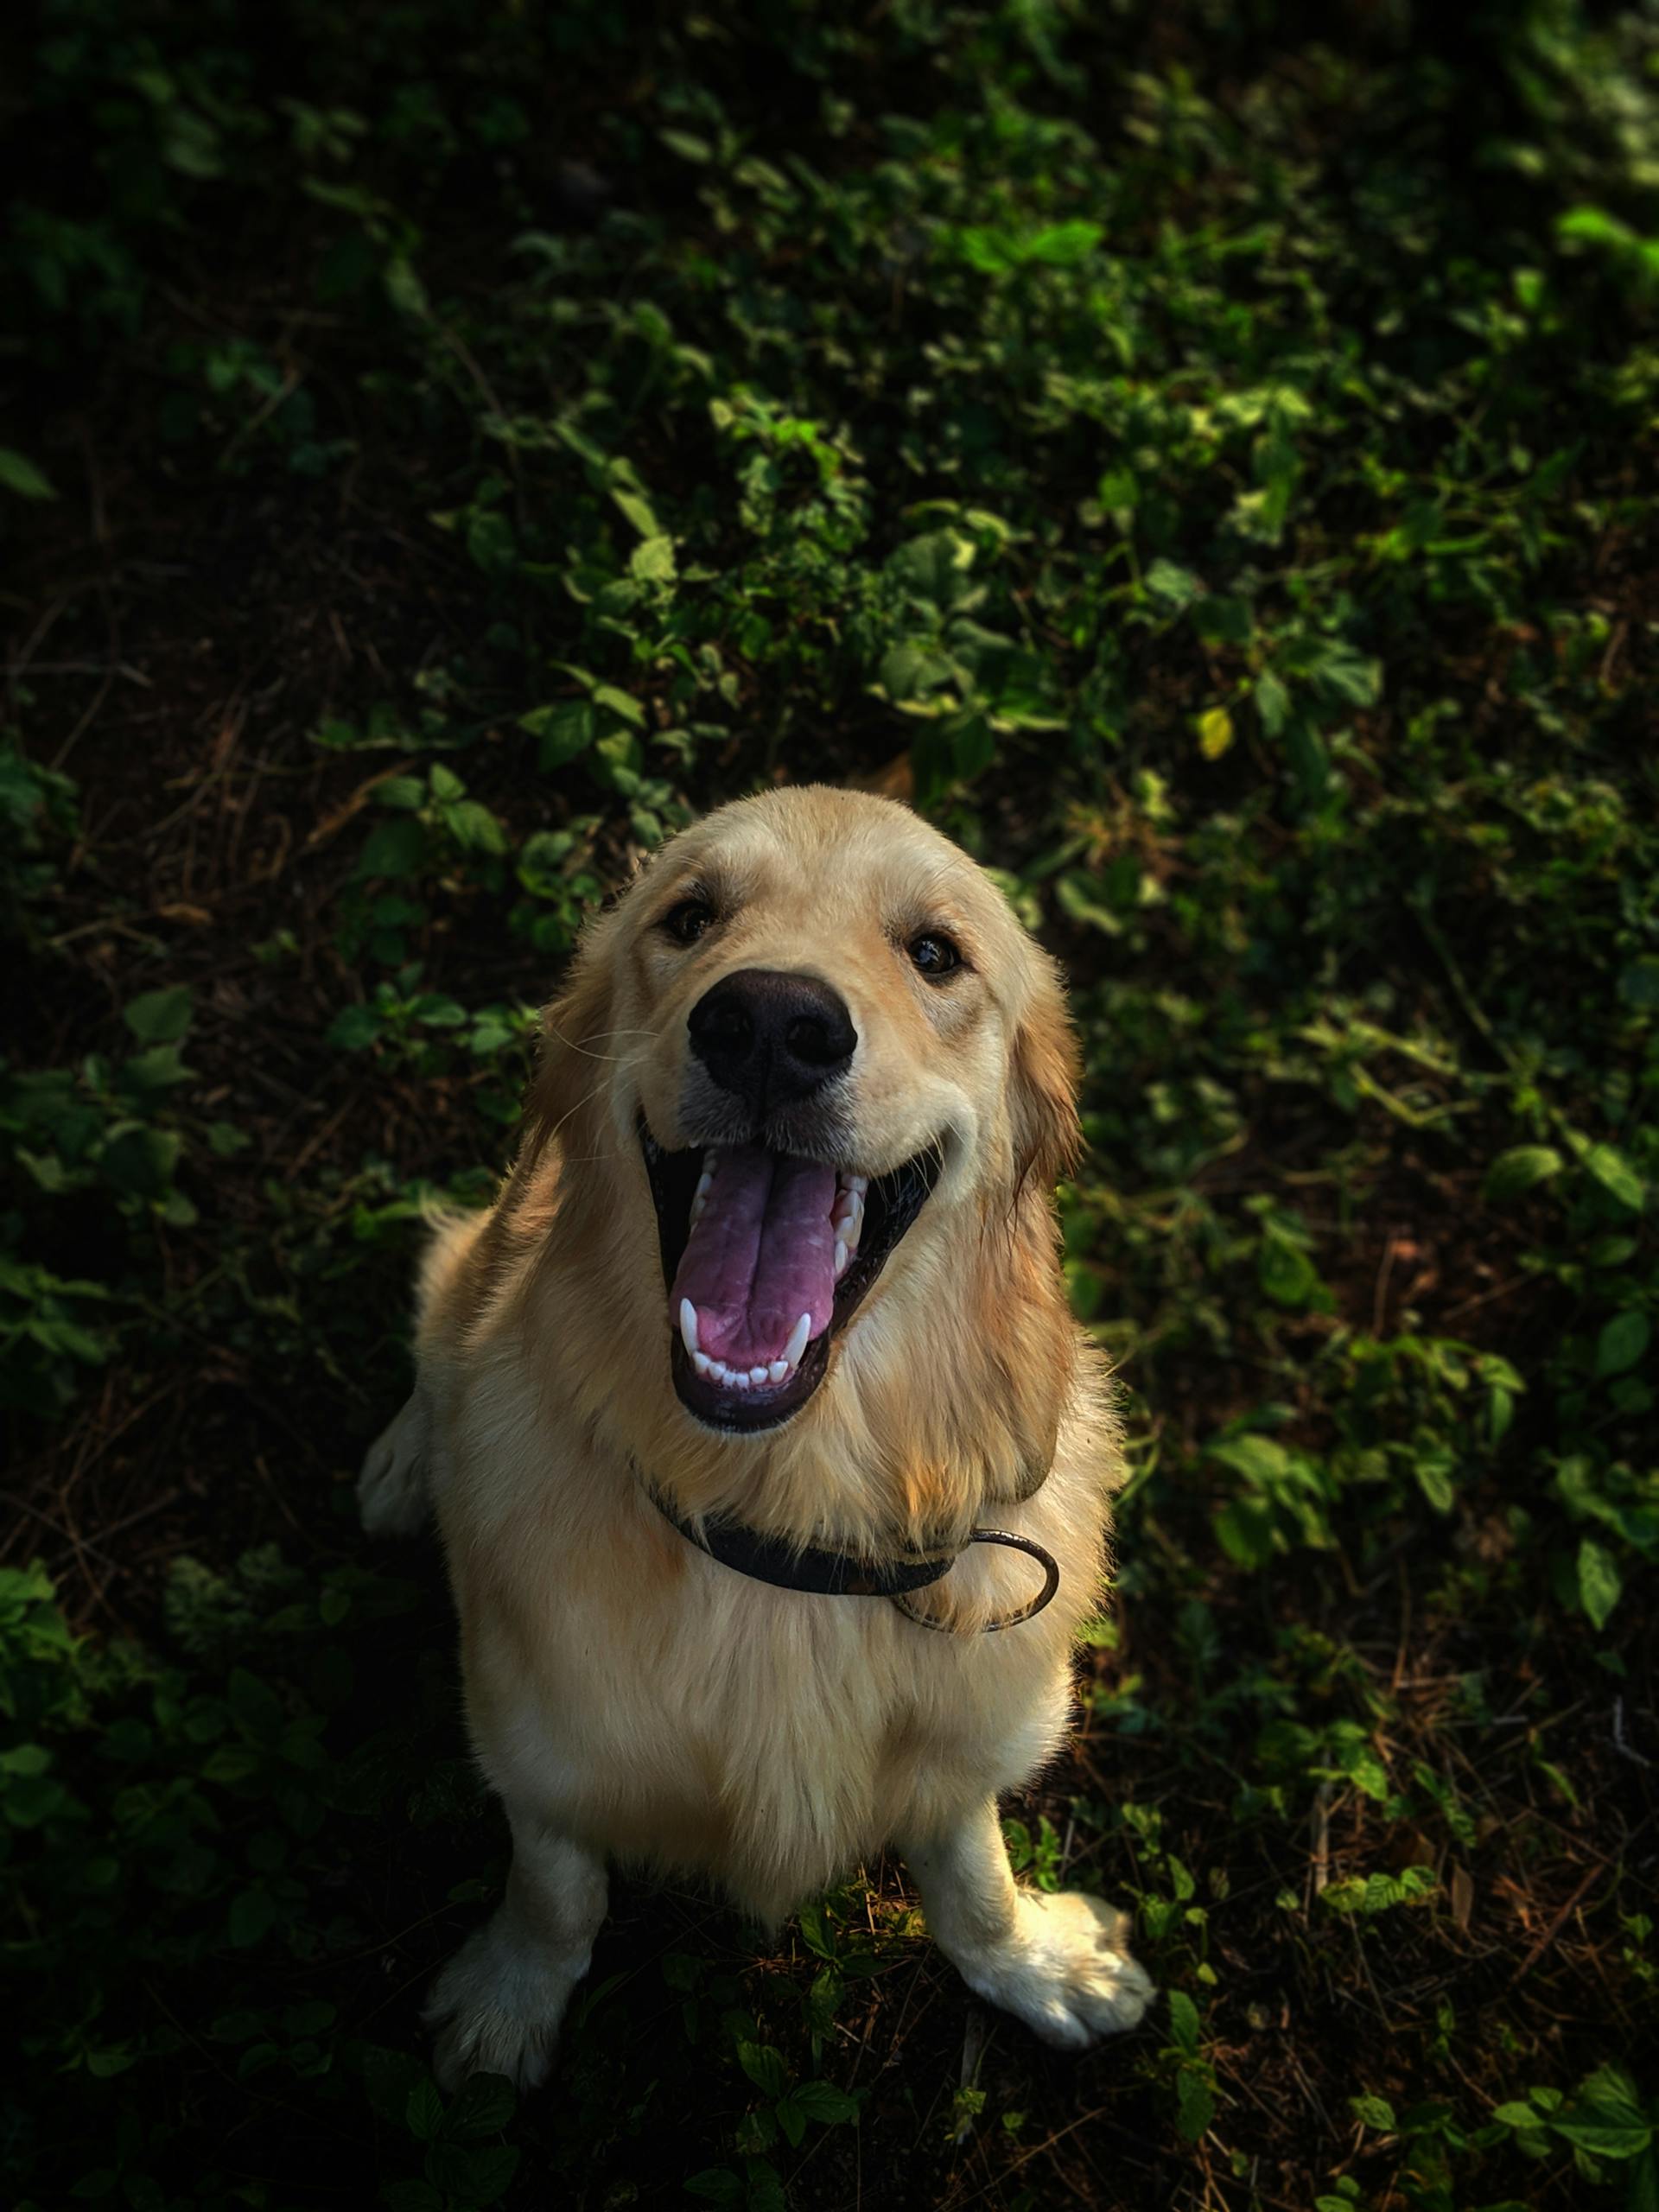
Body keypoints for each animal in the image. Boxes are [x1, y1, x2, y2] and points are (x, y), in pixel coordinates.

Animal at [358, 787, 1150, 2079]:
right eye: (690, 916)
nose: (772, 1023)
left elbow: (970, 1870)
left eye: (935, 952)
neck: (784, 1515)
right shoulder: (531, 1733)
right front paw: (509, 2001)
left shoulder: (972, 1733)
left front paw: (1033, 1964)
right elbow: (557, 1886)